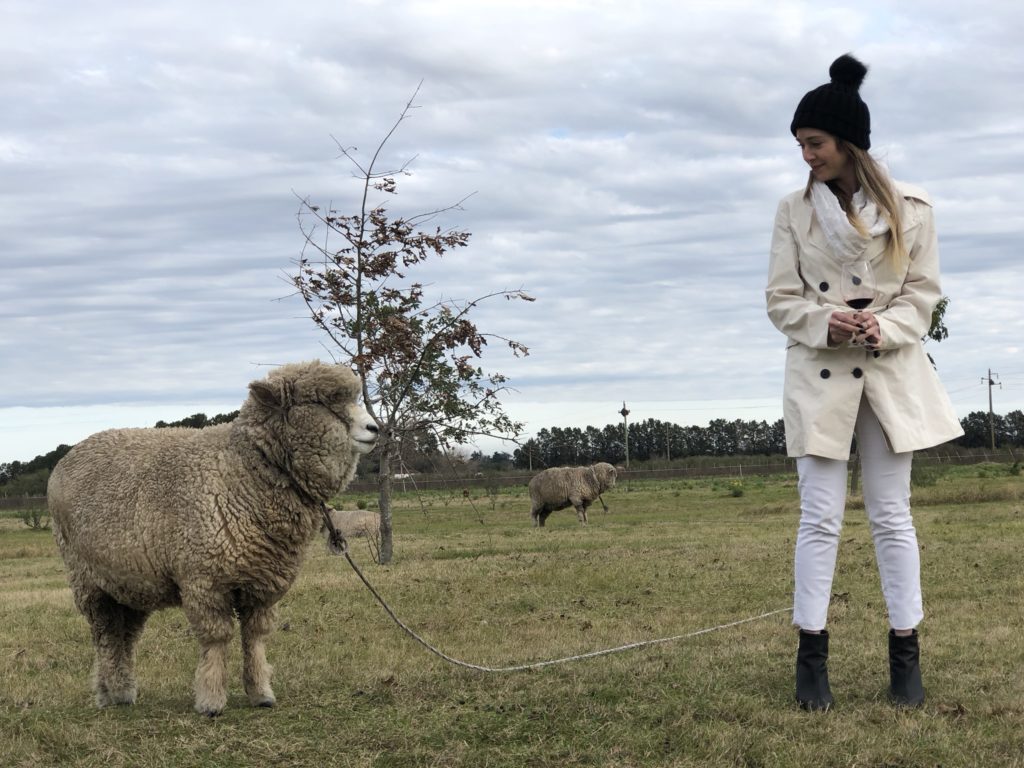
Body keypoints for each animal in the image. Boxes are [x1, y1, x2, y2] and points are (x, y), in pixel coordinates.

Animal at [47, 361, 379, 716]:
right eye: (320, 402)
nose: (375, 429)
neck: (241, 471)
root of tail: (69, 456)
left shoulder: (263, 583)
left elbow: (255, 637)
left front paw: (261, 692)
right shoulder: (205, 580)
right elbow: (216, 639)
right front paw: (211, 701)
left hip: (129, 582)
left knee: (125, 635)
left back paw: (116, 691)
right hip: (87, 579)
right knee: (106, 635)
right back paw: (113, 692)